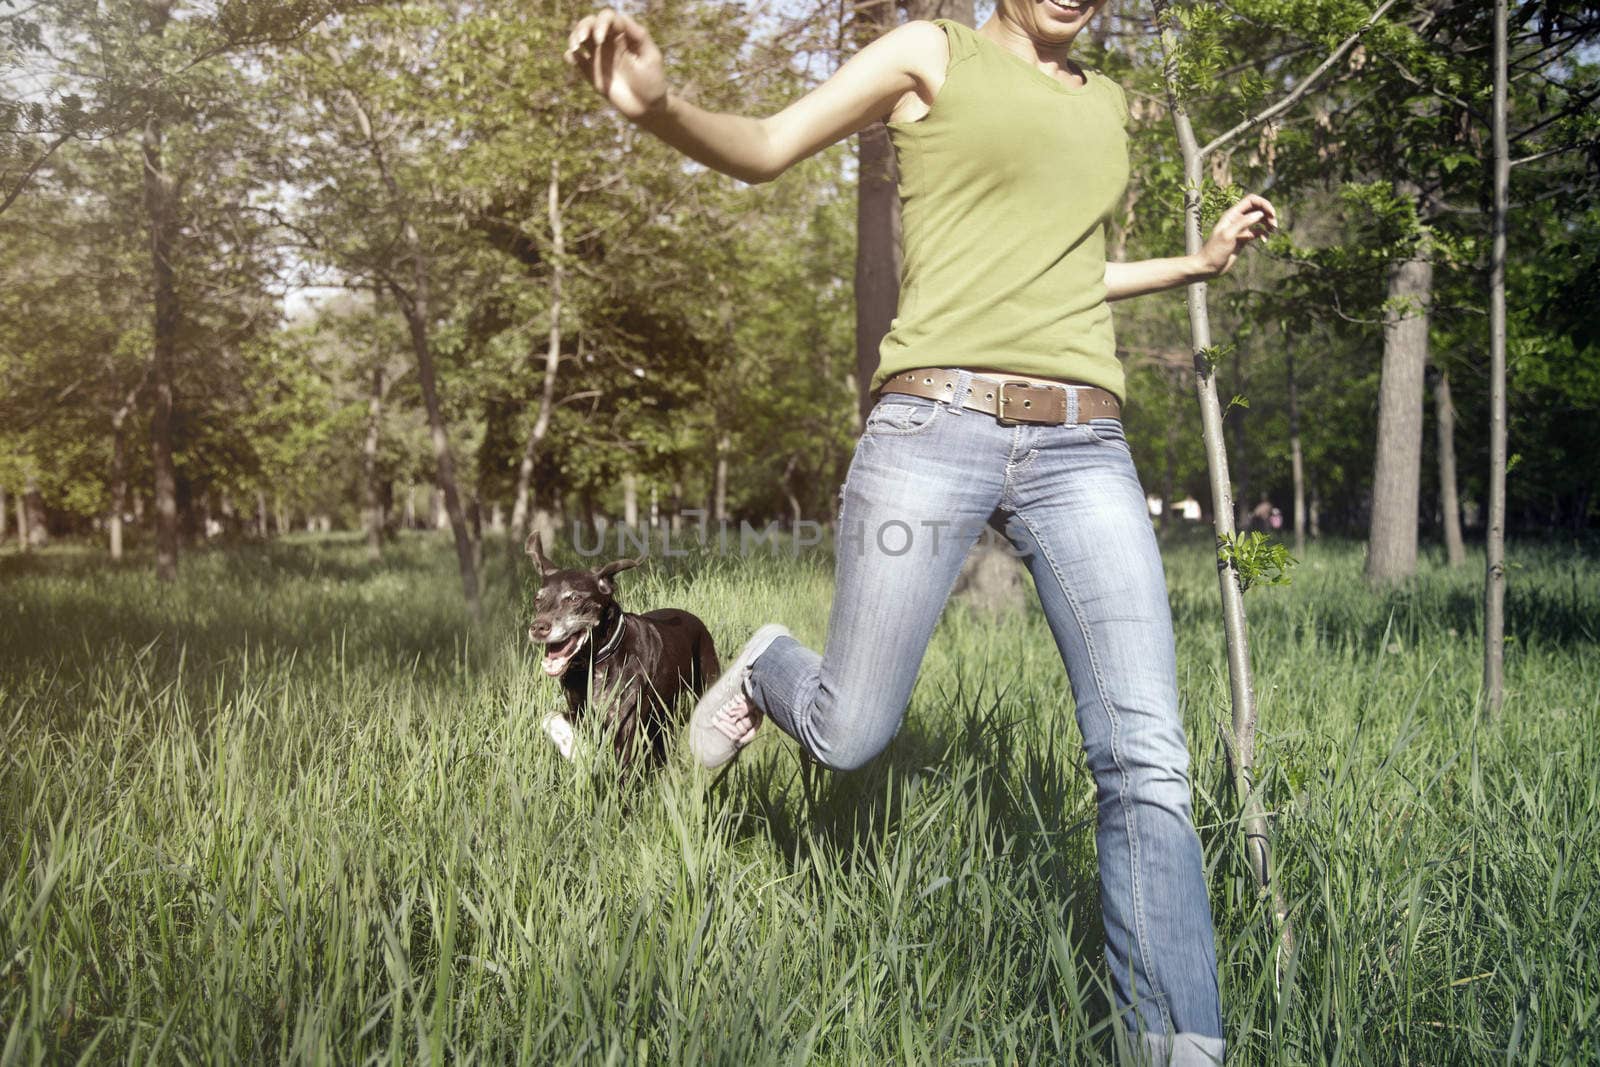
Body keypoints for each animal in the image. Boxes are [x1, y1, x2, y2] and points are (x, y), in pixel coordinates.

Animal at [524, 537, 720, 771]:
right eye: (537, 599)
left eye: (574, 598)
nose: (538, 628)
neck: (596, 664)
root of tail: (696, 620)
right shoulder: (580, 712)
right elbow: (549, 716)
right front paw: (573, 747)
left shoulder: (625, 723)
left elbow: (622, 769)